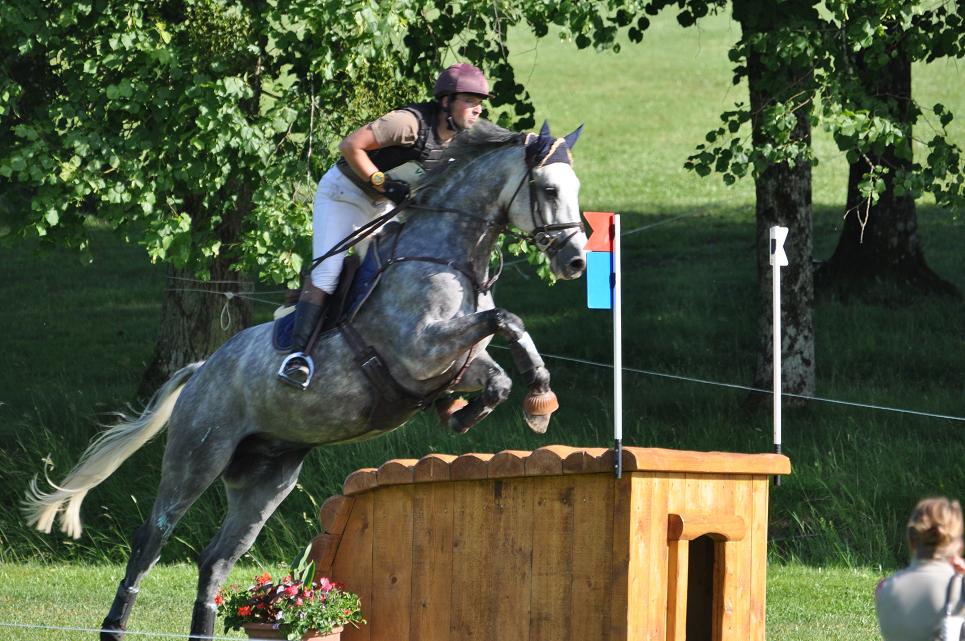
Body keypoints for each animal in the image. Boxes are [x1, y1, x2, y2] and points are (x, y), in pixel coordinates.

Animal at [24, 121, 588, 640]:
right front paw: (506, 402)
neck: (447, 255)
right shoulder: (419, 348)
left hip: (267, 481)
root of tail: (203, 369)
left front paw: (516, 401)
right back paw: (114, 626)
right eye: (548, 189)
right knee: (151, 539)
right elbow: (506, 320)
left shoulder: (456, 360)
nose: (576, 261)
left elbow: (500, 367)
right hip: (197, 457)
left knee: (216, 559)